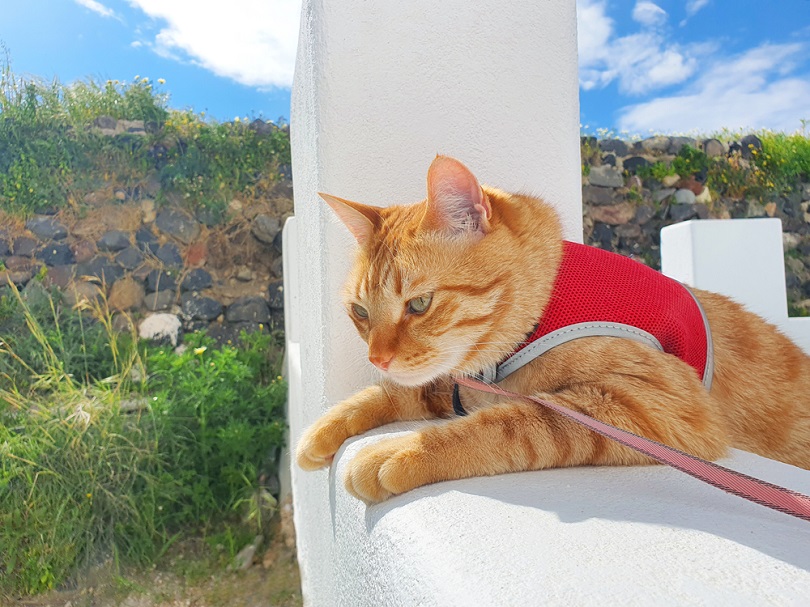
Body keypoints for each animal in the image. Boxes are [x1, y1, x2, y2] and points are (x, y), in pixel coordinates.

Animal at [296, 156, 808, 504]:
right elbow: (398, 392)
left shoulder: (656, 406)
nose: (376, 358)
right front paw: (325, 431)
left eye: (419, 304)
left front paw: (399, 452)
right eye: (360, 312)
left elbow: (513, 424)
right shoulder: (461, 386)